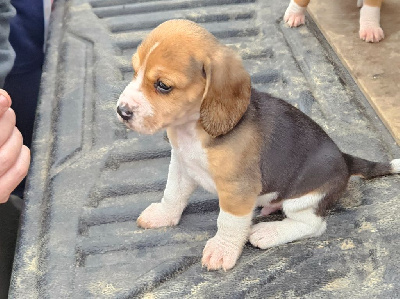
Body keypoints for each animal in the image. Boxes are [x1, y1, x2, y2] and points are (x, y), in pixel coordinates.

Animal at [116, 19, 400, 272]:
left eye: (163, 86)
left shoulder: (238, 190)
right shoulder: (181, 165)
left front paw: (222, 250)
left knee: (313, 225)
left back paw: (269, 232)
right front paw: (163, 215)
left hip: (305, 197)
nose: (121, 111)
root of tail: (344, 158)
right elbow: (173, 193)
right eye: (134, 71)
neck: (193, 130)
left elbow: (228, 222)